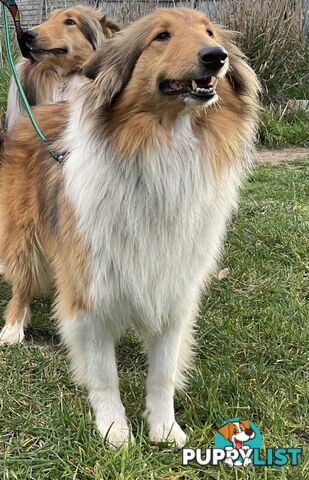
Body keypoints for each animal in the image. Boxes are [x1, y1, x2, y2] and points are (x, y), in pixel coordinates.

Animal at [0, 7, 258, 448]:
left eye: (209, 32)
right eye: (161, 36)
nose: (216, 56)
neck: (160, 150)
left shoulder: (173, 287)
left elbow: (163, 373)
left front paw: (165, 428)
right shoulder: (89, 290)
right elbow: (104, 375)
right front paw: (115, 431)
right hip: (23, 235)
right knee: (22, 282)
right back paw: (14, 328)